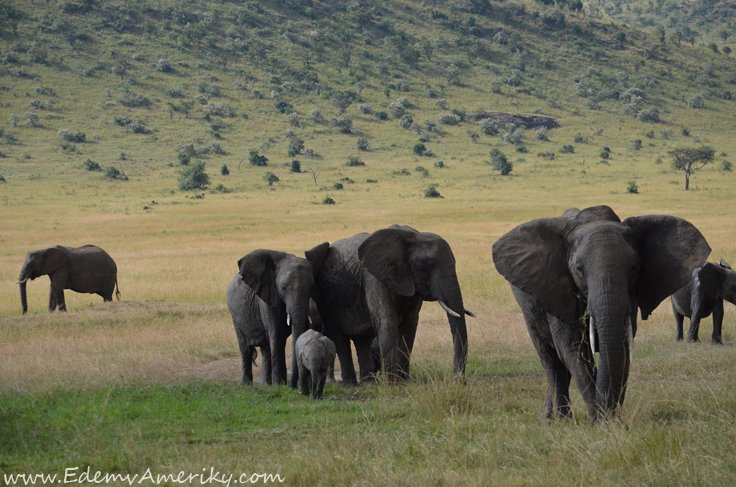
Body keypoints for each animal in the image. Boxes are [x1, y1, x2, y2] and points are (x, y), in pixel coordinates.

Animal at [224, 246, 328, 386]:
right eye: (283, 288)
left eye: (312, 288)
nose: (293, 385)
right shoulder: (268, 296)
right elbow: (276, 334)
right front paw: (280, 384)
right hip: (234, 314)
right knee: (246, 349)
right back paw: (247, 384)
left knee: (266, 349)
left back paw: (265, 384)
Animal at [310, 225, 472, 386]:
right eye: (430, 265)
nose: (459, 382)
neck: (414, 236)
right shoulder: (376, 278)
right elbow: (388, 320)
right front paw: (391, 383)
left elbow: (410, 323)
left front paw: (403, 381)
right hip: (326, 300)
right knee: (339, 337)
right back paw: (350, 384)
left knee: (362, 340)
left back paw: (368, 382)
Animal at [492, 206, 712, 424]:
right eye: (579, 269)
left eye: (634, 267)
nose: (607, 419)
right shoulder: (559, 290)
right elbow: (574, 349)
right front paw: (600, 424)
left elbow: (621, 347)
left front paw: (615, 424)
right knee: (553, 365)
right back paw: (558, 422)